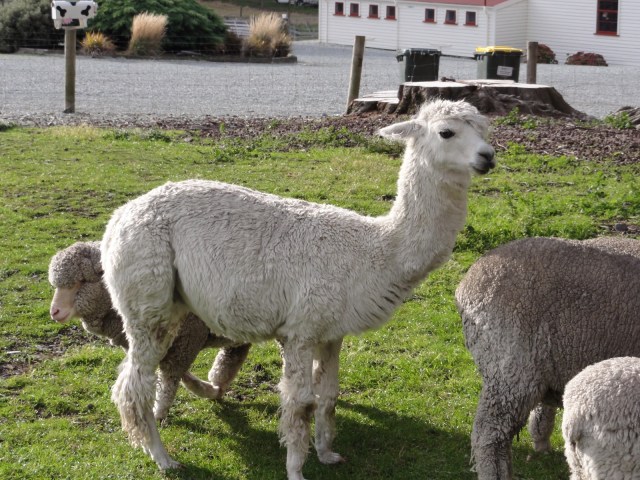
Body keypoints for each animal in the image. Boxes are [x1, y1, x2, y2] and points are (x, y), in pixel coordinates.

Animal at [48, 241, 251, 421]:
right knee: (232, 356)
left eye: (82, 281)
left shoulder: (187, 339)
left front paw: (159, 413)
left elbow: (169, 378)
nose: (54, 312)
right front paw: (205, 389)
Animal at [100, 98, 496, 479]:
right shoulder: (301, 329)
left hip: (171, 301)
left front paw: (327, 453)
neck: (377, 250)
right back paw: (163, 458)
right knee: (132, 386)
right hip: (146, 292)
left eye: (484, 127)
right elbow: (299, 403)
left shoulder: (331, 331)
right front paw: (296, 470)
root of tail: (119, 216)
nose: (488, 156)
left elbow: (329, 396)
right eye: (446, 132)